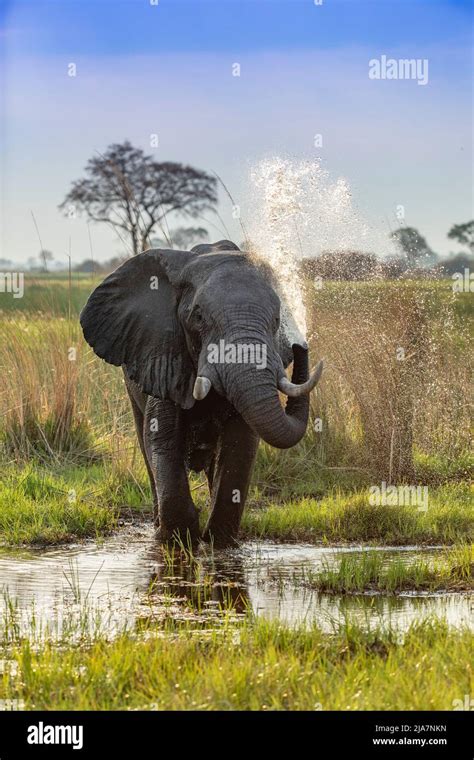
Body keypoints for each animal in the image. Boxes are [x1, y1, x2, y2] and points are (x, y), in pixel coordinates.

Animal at [80, 240, 322, 544]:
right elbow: (161, 438)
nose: (301, 344)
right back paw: (158, 524)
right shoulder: (164, 357)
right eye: (198, 317)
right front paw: (178, 539)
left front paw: (219, 540)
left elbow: (240, 445)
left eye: (278, 320)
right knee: (145, 444)